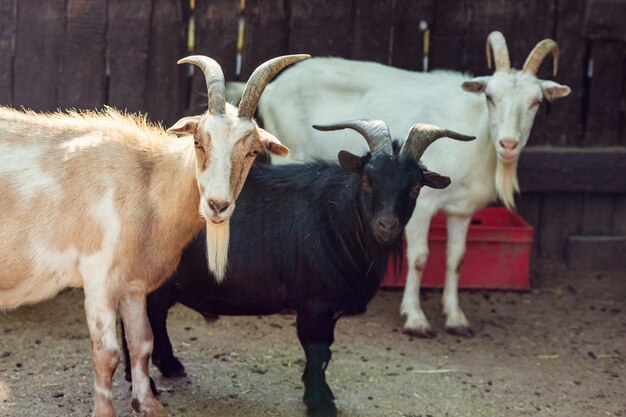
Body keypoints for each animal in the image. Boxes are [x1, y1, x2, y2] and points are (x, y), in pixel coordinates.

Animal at [0, 52, 308, 416]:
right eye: (198, 142)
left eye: (252, 151)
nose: (217, 205)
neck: (146, 181)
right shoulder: (99, 278)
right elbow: (106, 354)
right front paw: (105, 411)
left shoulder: (133, 285)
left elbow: (142, 343)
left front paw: (148, 404)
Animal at [120, 118, 472, 414]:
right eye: (367, 180)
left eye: (415, 187)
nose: (387, 225)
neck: (338, 220)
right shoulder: (314, 303)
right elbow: (317, 352)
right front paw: (320, 402)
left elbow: (324, 353)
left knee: (153, 317)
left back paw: (168, 367)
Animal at [254, 33, 572, 338]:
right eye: (490, 97)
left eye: (536, 102)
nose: (508, 144)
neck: (476, 132)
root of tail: (272, 89)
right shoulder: (423, 207)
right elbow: (419, 258)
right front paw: (416, 320)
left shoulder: (462, 210)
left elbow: (457, 259)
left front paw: (456, 319)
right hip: (289, 153)